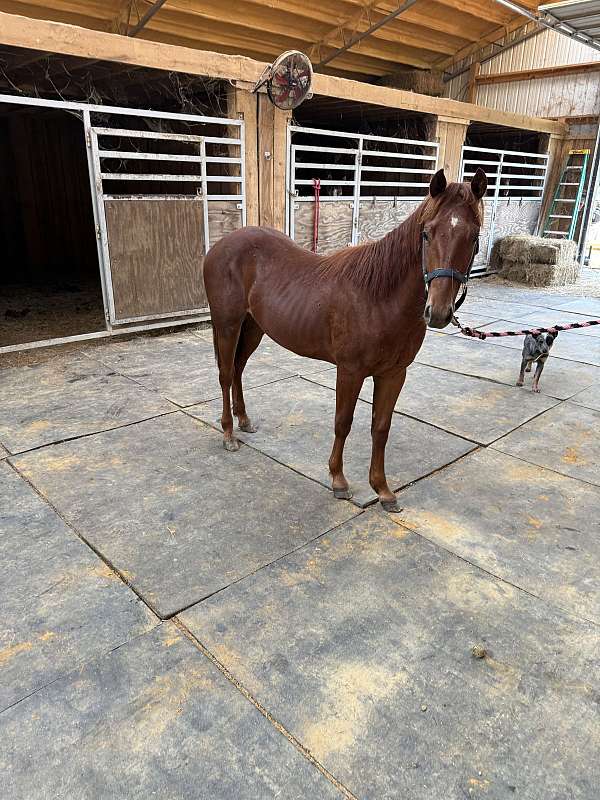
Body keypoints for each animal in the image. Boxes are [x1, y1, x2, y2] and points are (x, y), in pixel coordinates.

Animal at [204, 168, 487, 512]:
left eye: (473, 237)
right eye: (427, 234)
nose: (439, 312)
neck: (378, 297)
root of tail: (222, 245)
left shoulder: (394, 373)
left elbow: (381, 428)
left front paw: (383, 490)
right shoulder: (350, 371)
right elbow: (343, 422)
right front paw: (339, 481)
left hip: (253, 327)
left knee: (239, 370)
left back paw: (244, 420)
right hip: (227, 325)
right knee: (225, 374)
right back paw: (229, 435)